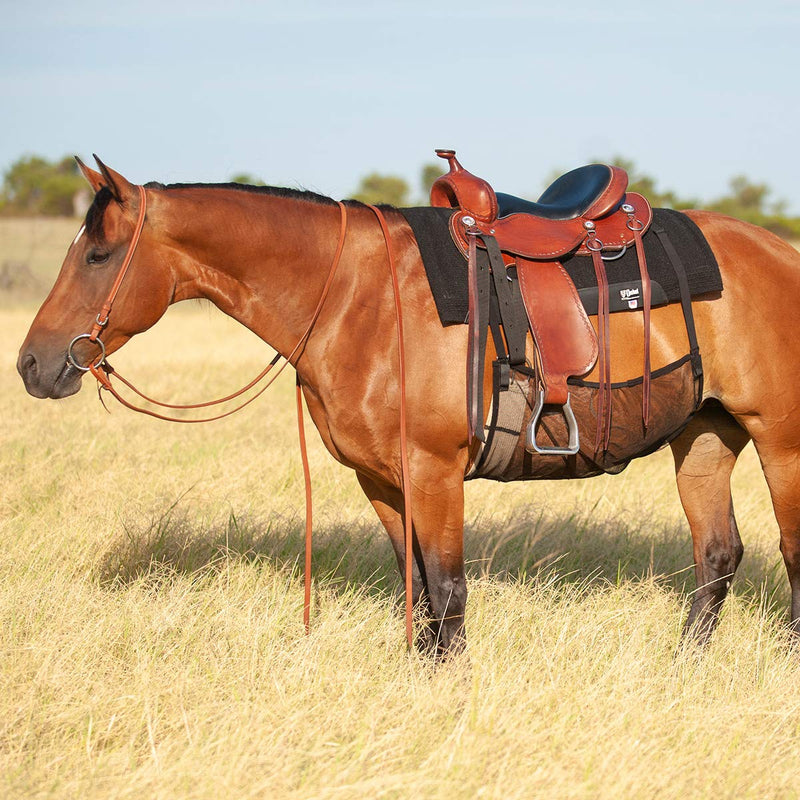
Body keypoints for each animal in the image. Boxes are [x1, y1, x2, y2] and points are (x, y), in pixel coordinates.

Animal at [15, 158, 800, 656]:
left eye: (97, 255)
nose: (31, 364)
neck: (353, 296)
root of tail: (782, 253)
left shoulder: (435, 472)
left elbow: (448, 593)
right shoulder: (384, 481)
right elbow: (417, 592)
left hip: (781, 442)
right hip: (704, 437)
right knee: (717, 553)